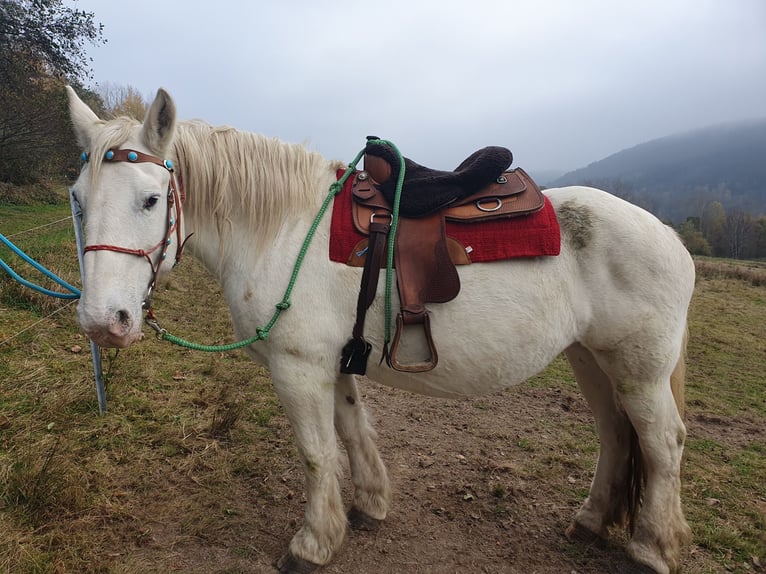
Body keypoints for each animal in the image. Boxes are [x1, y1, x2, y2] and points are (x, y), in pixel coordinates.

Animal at [69, 86, 700, 574]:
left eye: (151, 199)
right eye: (78, 199)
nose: (104, 322)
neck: (282, 229)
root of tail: (669, 236)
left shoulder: (298, 368)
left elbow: (317, 452)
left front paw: (312, 544)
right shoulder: (332, 361)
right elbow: (351, 432)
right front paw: (369, 505)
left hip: (639, 370)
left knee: (663, 443)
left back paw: (652, 549)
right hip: (590, 358)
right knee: (617, 435)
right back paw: (590, 522)